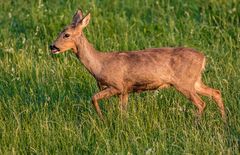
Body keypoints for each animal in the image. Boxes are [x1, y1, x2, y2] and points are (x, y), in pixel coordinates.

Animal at [49, 9, 226, 120]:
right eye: (60, 31)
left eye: (66, 35)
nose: (52, 46)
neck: (100, 64)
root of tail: (203, 58)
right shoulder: (125, 90)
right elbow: (123, 111)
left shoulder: (117, 85)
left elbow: (93, 98)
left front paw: (102, 119)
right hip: (195, 81)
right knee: (216, 92)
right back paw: (224, 121)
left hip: (184, 82)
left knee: (201, 103)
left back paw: (197, 123)